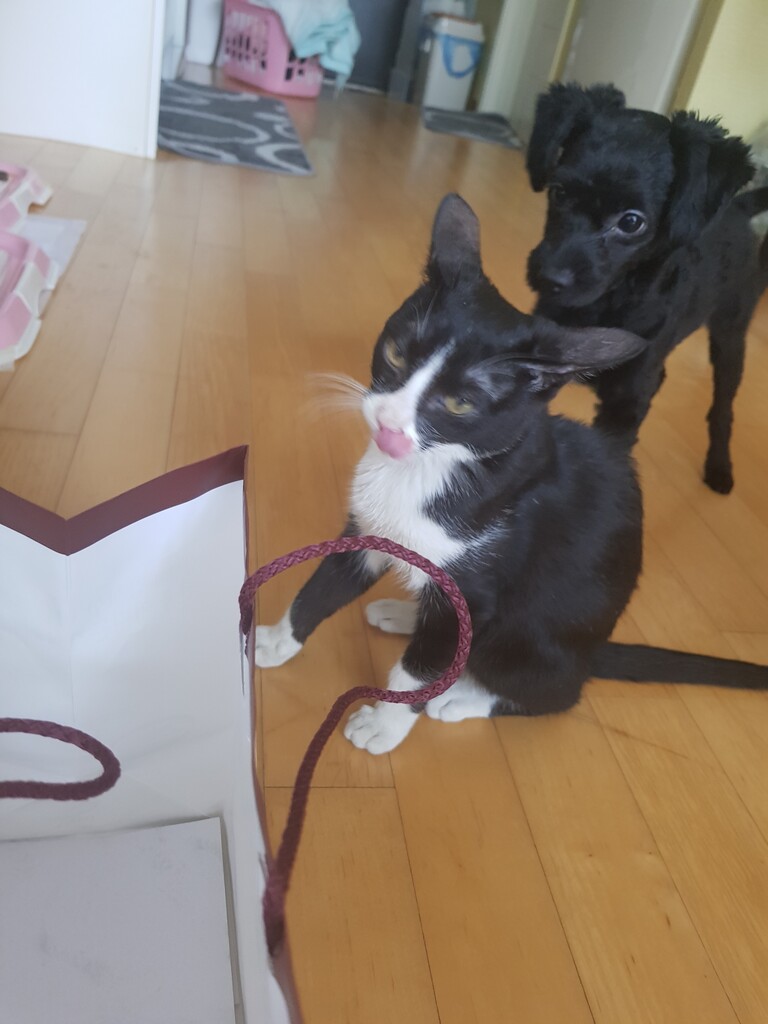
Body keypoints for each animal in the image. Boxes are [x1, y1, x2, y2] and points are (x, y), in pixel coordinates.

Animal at [255, 193, 768, 755]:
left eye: (460, 402)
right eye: (394, 353)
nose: (388, 424)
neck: (431, 469)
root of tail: (592, 651)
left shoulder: (478, 586)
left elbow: (422, 669)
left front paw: (384, 725)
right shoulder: (370, 532)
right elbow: (321, 587)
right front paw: (276, 641)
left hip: (527, 639)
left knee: (555, 691)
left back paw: (461, 698)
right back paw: (404, 615)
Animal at [526, 83, 768, 493]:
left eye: (631, 222)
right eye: (558, 192)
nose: (547, 278)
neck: (608, 303)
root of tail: (737, 207)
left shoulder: (625, 405)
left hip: (731, 334)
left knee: (723, 407)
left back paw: (720, 466)